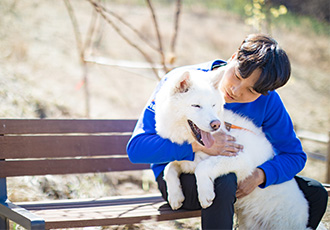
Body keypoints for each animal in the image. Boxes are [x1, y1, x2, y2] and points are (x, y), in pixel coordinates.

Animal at [153, 69, 310, 230]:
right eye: (196, 106)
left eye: (213, 105)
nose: (215, 124)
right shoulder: (184, 161)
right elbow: (168, 168)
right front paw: (175, 197)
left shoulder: (241, 159)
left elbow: (202, 167)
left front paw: (205, 193)